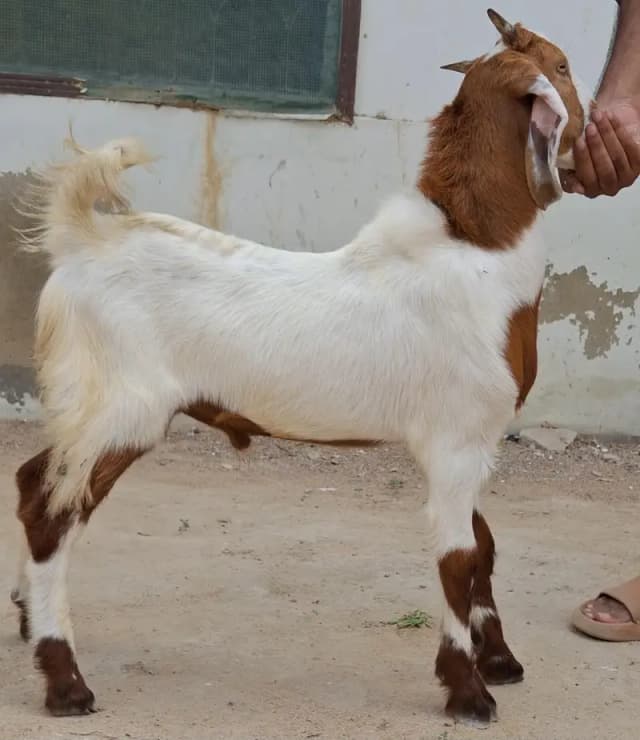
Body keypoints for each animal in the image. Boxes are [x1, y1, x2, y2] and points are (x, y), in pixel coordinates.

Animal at [11, 9, 591, 726]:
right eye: (562, 67)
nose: (590, 130)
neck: (474, 247)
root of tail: (80, 242)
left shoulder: (475, 442)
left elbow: (482, 545)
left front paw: (499, 660)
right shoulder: (456, 437)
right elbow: (458, 558)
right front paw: (467, 691)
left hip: (88, 409)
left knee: (31, 480)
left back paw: (27, 619)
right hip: (119, 406)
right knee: (51, 509)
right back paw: (65, 682)